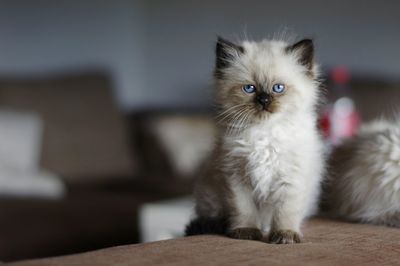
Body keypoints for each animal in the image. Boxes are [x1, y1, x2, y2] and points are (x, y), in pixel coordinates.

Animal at [184, 36, 324, 244]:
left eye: (278, 88)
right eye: (249, 88)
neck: (264, 133)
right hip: (210, 198)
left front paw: (285, 236)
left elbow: (285, 213)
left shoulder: (290, 178)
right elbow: (244, 211)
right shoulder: (237, 179)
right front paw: (246, 232)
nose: (264, 100)